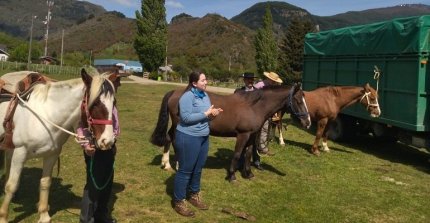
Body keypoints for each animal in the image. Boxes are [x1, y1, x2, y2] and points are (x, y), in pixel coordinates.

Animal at [0, 69, 116, 223]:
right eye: (96, 103)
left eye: (114, 103)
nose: (107, 141)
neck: (47, 116)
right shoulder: (20, 153)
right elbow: (11, 186)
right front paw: (3, 217)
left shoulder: (52, 155)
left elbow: (45, 183)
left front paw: (44, 215)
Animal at [149, 83, 310, 181]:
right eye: (298, 101)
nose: (307, 123)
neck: (254, 106)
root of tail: (175, 92)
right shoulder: (243, 135)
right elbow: (238, 153)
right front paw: (232, 175)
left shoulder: (252, 135)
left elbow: (248, 153)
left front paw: (248, 173)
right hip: (180, 125)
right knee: (175, 140)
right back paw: (176, 165)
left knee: (169, 138)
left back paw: (167, 164)